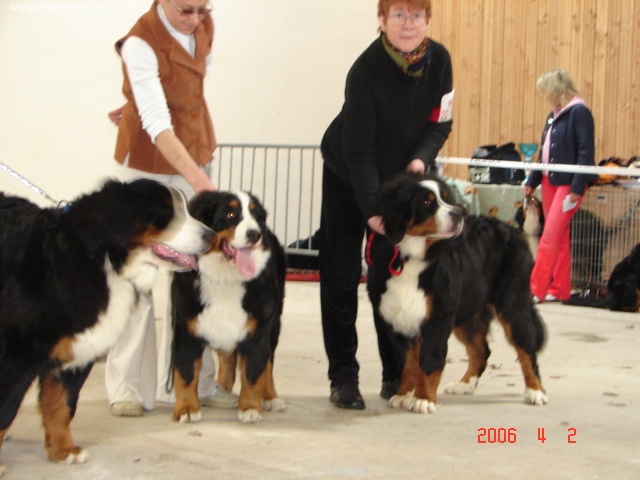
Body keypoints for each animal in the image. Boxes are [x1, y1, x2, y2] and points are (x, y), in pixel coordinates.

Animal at [0, 179, 212, 474]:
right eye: (166, 214)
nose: (210, 236)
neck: (103, 260)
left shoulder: (79, 351)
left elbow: (61, 406)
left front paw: (63, 450)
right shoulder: (16, 356)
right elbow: (6, 409)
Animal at [171, 190, 286, 424]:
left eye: (255, 216)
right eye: (231, 214)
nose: (255, 234)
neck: (225, 278)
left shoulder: (258, 331)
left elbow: (254, 373)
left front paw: (250, 408)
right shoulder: (186, 330)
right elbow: (186, 374)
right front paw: (186, 409)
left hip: (275, 323)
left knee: (268, 364)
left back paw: (270, 397)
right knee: (227, 360)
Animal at [366, 172, 548, 414]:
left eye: (445, 198)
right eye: (426, 203)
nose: (458, 213)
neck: (410, 256)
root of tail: (512, 228)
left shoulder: (438, 317)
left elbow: (430, 360)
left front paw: (424, 399)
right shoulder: (397, 320)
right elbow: (408, 363)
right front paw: (404, 394)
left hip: (511, 304)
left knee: (526, 348)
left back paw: (535, 391)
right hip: (467, 311)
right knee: (481, 351)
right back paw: (464, 384)